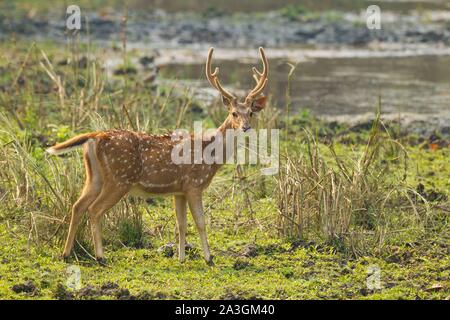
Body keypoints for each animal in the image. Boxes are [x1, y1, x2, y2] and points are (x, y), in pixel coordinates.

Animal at [47, 47, 268, 264]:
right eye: (233, 113)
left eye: (250, 113)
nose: (246, 127)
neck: (211, 157)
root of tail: (96, 136)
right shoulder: (194, 184)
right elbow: (200, 222)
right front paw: (208, 258)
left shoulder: (179, 190)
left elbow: (181, 224)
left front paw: (181, 258)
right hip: (119, 178)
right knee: (94, 209)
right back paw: (100, 256)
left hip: (95, 177)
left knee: (77, 206)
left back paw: (66, 254)